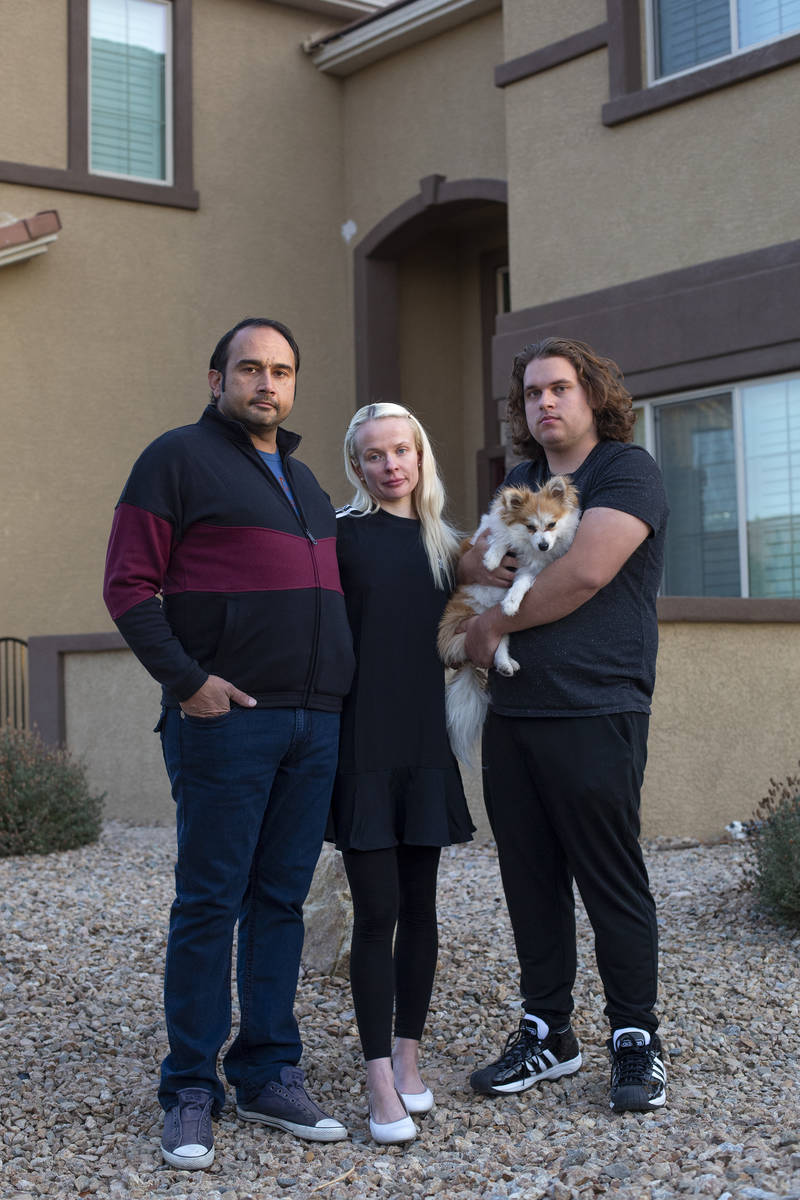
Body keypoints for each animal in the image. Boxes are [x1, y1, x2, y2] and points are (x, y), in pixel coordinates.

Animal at [438, 472, 582, 763]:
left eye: (551, 525)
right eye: (530, 527)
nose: (543, 545)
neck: (528, 549)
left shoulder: (532, 571)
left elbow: (522, 582)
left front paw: (512, 601)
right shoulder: (482, 534)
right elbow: (499, 536)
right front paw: (492, 559)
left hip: (492, 626)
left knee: (498, 641)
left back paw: (505, 661)